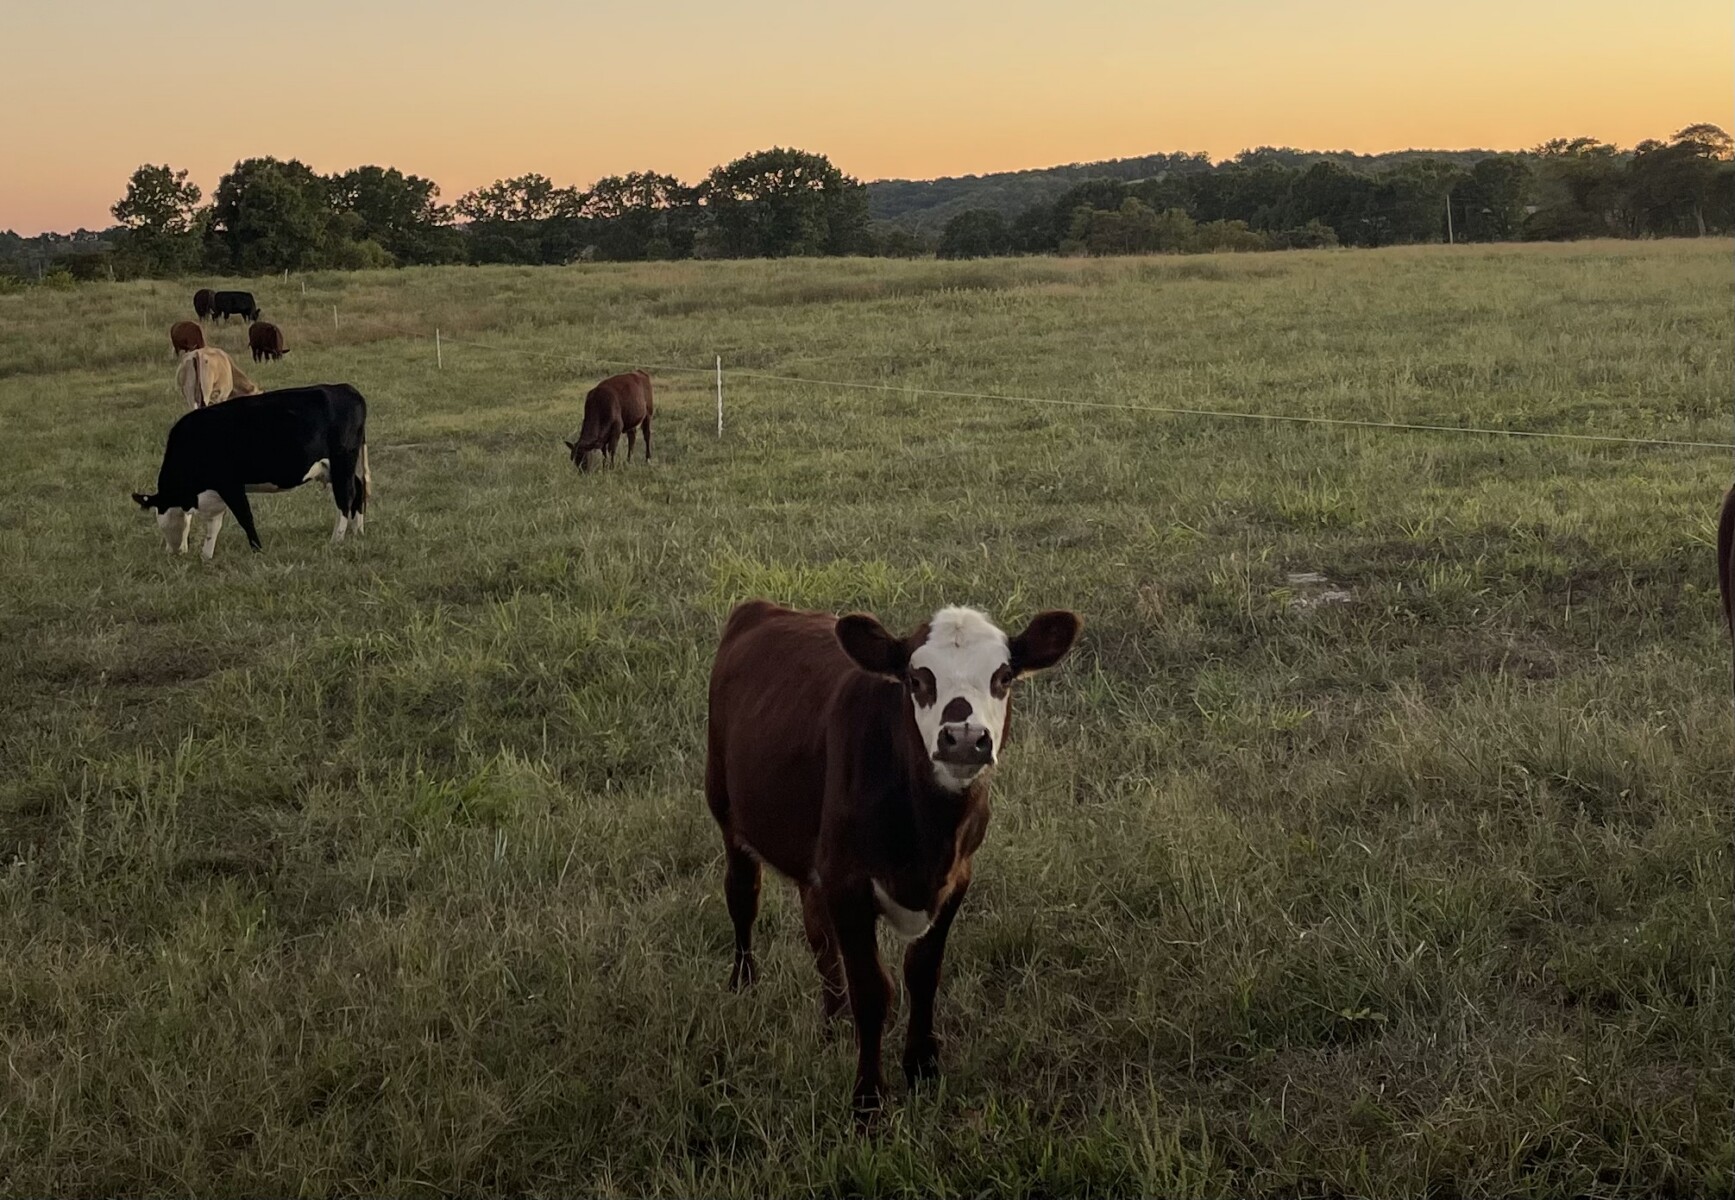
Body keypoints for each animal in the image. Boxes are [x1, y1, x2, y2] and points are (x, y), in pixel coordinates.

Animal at [132, 384, 371, 558]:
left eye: (163, 520)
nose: (173, 552)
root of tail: (346, 388)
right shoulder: (215, 492)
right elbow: (213, 526)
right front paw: (206, 557)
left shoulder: (230, 485)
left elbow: (245, 517)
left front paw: (257, 549)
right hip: (333, 467)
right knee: (358, 488)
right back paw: (358, 531)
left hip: (342, 460)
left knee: (345, 496)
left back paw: (336, 539)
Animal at [705, 600, 1082, 1120]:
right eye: (917, 679)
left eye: (1003, 676)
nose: (965, 737)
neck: (927, 834)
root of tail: (763, 608)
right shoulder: (848, 882)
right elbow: (872, 989)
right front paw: (868, 1100)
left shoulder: (956, 878)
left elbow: (922, 974)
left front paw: (922, 1068)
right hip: (726, 810)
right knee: (743, 897)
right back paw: (744, 984)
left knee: (817, 931)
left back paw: (833, 1019)